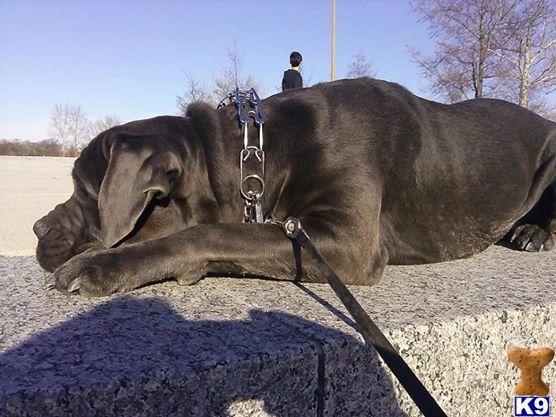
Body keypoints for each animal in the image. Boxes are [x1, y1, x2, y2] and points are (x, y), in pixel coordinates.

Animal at [34, 78, 556, 296]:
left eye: (84, 190)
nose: (38, 227)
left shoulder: (348, 241)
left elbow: (209, 231)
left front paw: (101, 264)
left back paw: (533, 232)